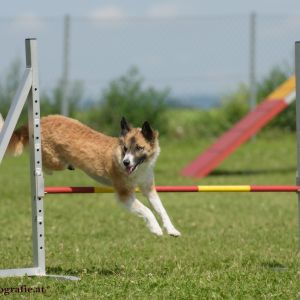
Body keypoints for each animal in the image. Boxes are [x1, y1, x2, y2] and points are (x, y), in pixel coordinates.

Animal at [0, 114, 180, 237]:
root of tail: (40, 120)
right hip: (56, 161)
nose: (126, 163)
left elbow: (161, 210)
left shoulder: (149, 189)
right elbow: (147, 211)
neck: (139, 168)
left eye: (139, 148)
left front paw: (172, 229)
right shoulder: (125, 195)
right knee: (43, 163)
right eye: (125, 148)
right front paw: (156, 229)